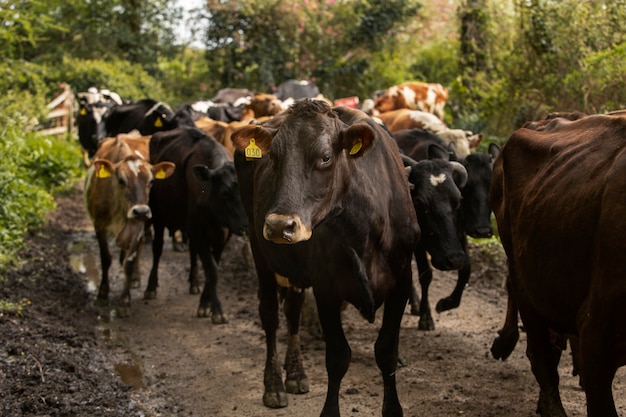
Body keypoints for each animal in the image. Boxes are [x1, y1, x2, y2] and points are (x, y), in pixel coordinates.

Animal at [83, 132, 174, 316]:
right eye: (121, 180)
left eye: (151, 181)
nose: (141, 211)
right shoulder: (99, 225)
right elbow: (106, 258)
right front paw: (102, 294)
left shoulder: (138, 227)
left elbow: (129, 262)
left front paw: (125, 301)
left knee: (147, 248)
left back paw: (142, 282)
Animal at [145, 126, 247, 322]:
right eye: (224, 193)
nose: (245, 227)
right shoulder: (197, 229)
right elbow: (212, 269)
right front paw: (216, 310)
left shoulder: (223, 234)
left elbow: (212, 267)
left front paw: (205, 303)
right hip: (158, 215)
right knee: (157, 248)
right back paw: (151, 287)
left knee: (192, 252)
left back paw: (194, 282)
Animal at [230, 99, 420, 414]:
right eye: (273, 158)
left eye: (326, 157)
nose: (279, 225)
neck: (363, 229)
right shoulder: (326, 288)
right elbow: (338, 356)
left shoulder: (402, 282)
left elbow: (386, 351)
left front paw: (393, 410)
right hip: (260, 251)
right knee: (270, 316)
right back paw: (275, 385)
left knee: (292, 311)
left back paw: (296, 374)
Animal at [392, 128, 500, 330]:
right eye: (419, 203)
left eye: (458, 198)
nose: (482, 230)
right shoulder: (419, 243)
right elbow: (426, 275)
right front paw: (426, 317)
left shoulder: (459, 234)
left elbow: (466, 269)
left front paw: (446, 303)